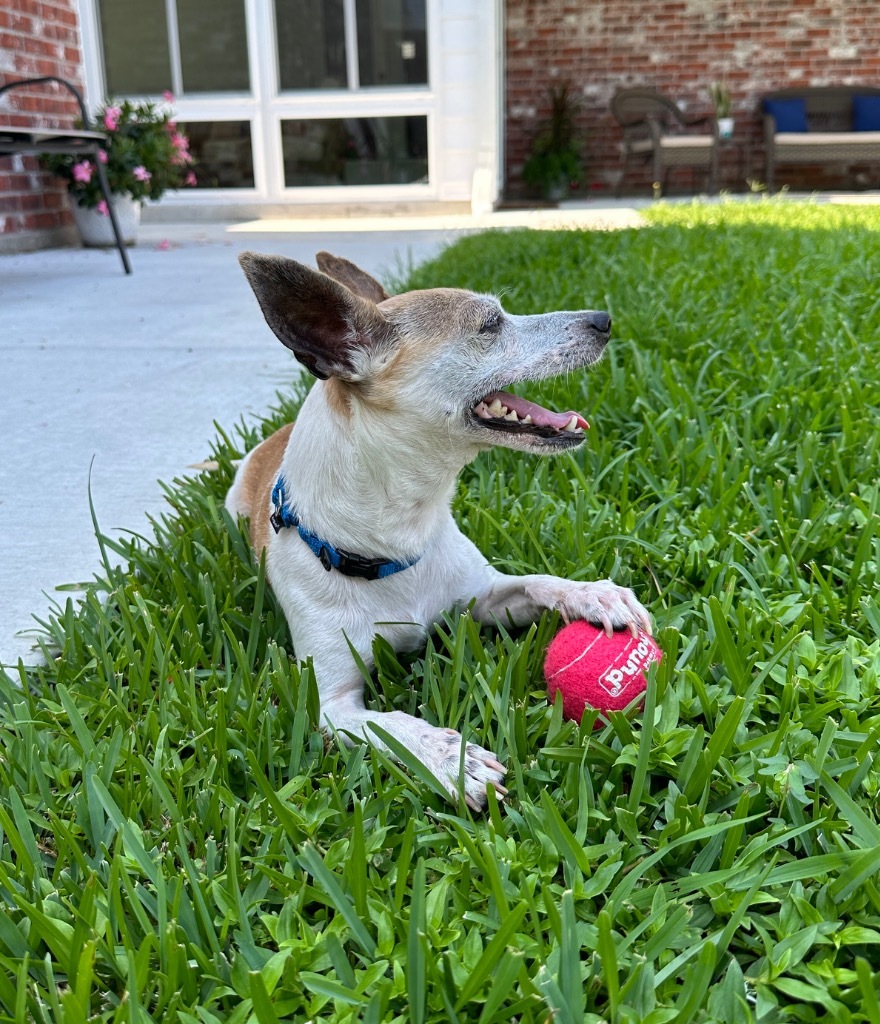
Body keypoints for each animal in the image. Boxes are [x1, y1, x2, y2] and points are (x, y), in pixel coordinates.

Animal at [227, 251, 655, 811]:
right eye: (490, 324)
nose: (603, 320)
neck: (398, 534)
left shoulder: (483, 597)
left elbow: (539, 582)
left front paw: (594, 595)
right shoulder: (330, 705)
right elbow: (390, 725)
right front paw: (453, 760)